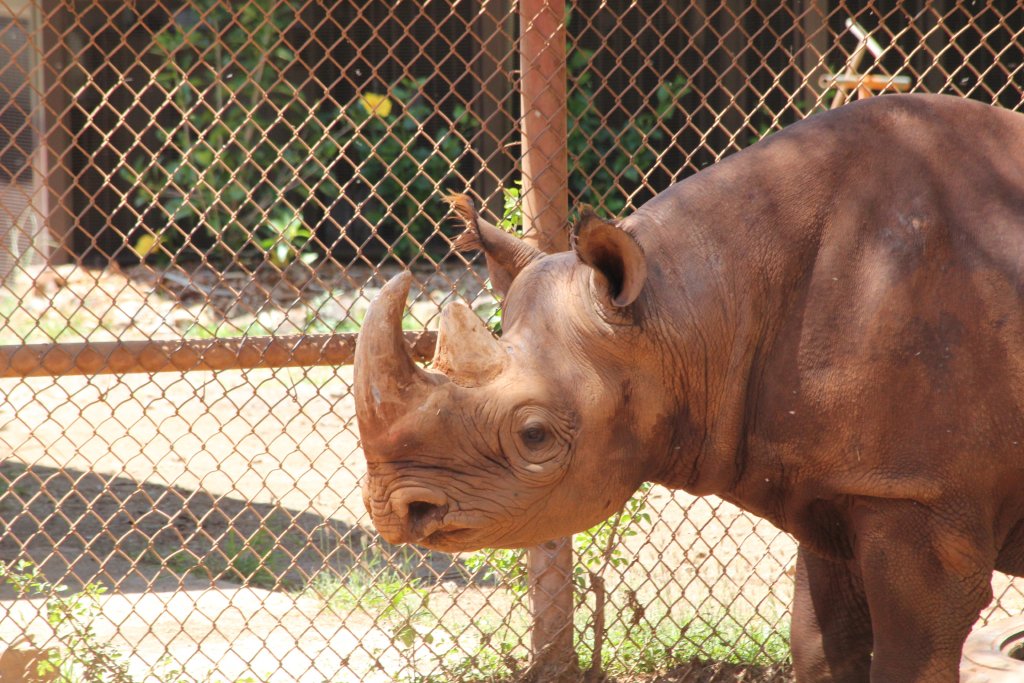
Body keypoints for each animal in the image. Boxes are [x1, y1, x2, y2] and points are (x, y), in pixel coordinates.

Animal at [353, 94, 1024, 682]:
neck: (687, 308)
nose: (391, 510)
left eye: (535, 435)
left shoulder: (921, 500)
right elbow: (818, 646)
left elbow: (907, 656)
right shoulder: (842, 480)